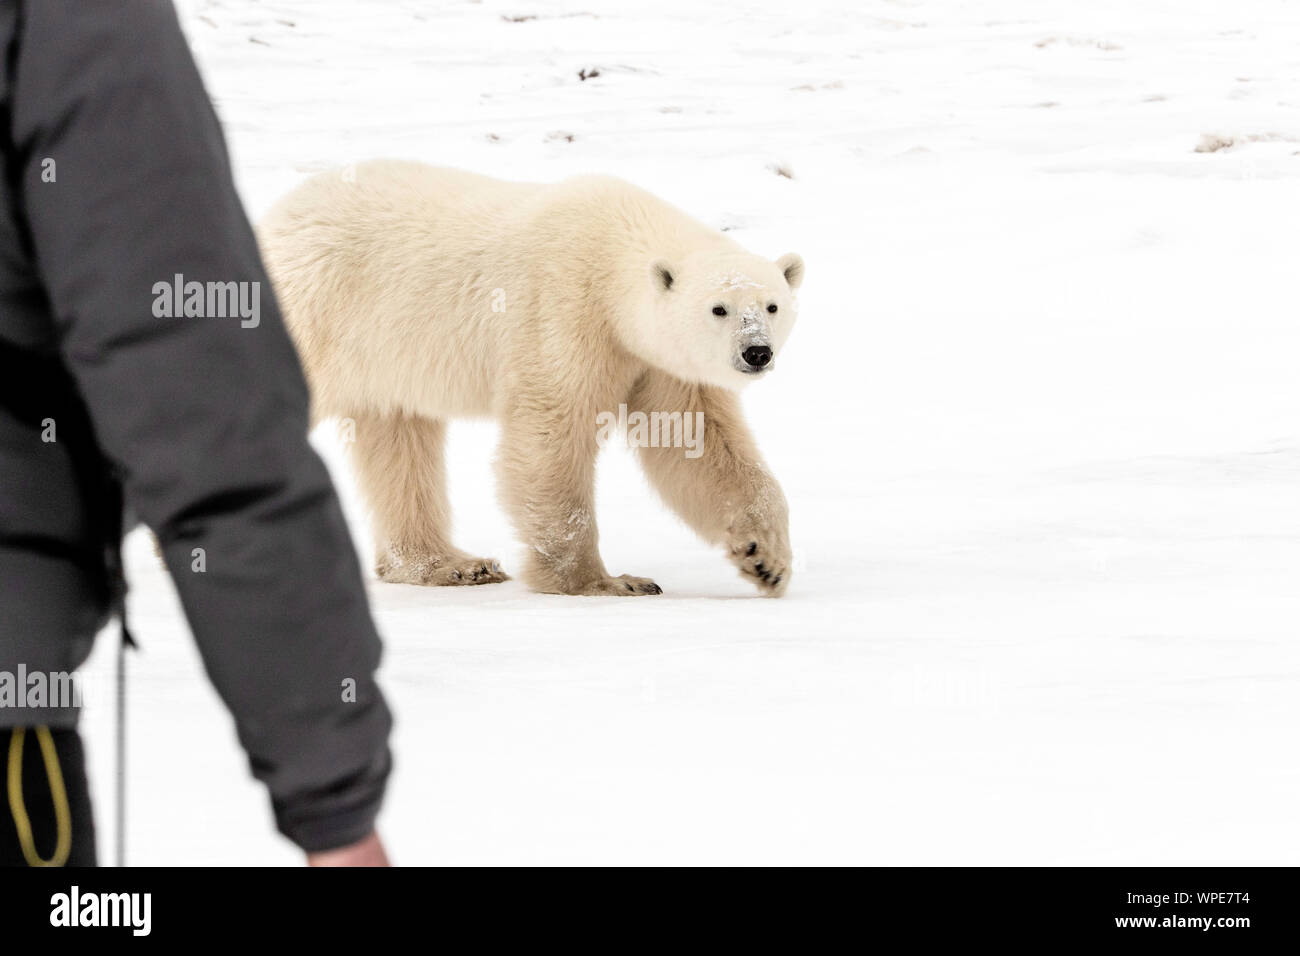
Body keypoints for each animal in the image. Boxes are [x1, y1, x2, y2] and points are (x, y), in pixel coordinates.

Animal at [256, 164, 800, 598]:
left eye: (772, 305)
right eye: (719, 308)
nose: (756, 352)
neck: (612, 248)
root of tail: (274, 218)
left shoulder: (656, 359)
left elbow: (698, 442)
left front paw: (765, 557)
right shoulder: (565, 309)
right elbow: (551, 434)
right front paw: (605, 582)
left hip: (386, 356)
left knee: (400, 442)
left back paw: (453, 565)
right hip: (317, 307)